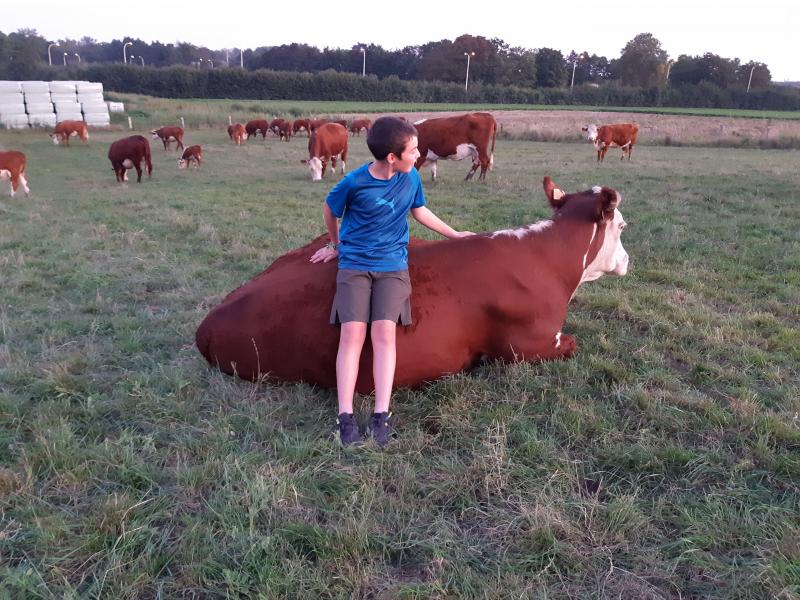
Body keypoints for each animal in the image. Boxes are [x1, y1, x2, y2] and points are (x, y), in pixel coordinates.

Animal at [195, 173, 632, 392]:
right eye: (623, 226)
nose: (628, 260)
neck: (547, 260)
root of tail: (209, 323)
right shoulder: (530, 346)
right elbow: (573, 343)